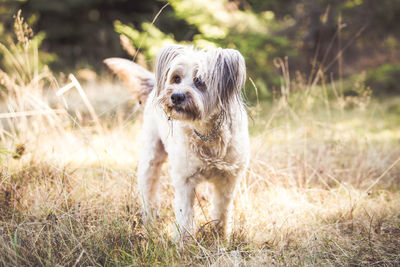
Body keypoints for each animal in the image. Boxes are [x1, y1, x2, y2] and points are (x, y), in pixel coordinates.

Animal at [106, 45, 250, 242]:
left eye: (200, 81)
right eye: (176, 78)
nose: (176, 96)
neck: (206, 133)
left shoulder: (228, 180)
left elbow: (222, 211)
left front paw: (219, 237)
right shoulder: (185, 181)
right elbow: (185, 215)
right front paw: (183, 244)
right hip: (151, 158)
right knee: (148, 190)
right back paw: (150, 221)